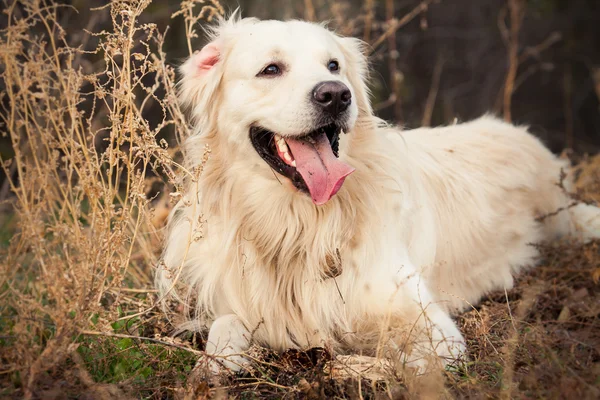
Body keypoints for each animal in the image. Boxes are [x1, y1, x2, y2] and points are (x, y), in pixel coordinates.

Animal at [157, 14, 600, 372]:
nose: (336, 94)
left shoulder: (433, 329)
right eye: (270, 69)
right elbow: (224, 333)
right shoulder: (239, 303)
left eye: (333, 65)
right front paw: (218, 363)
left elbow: (402, 363)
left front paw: (350, 366)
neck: (297, 223)